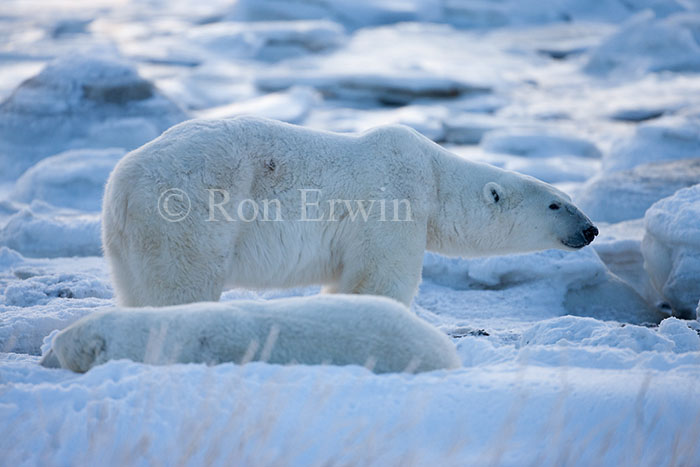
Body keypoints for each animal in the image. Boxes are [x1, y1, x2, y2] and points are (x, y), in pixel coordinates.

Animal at [102, 116, 598, 307]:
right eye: (557, 203)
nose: (591, 230)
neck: (434, 175)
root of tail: (122, 183)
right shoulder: (393, 203)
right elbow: (379, 278)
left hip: (128, 244)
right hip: (189, 213)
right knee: (183, 285)